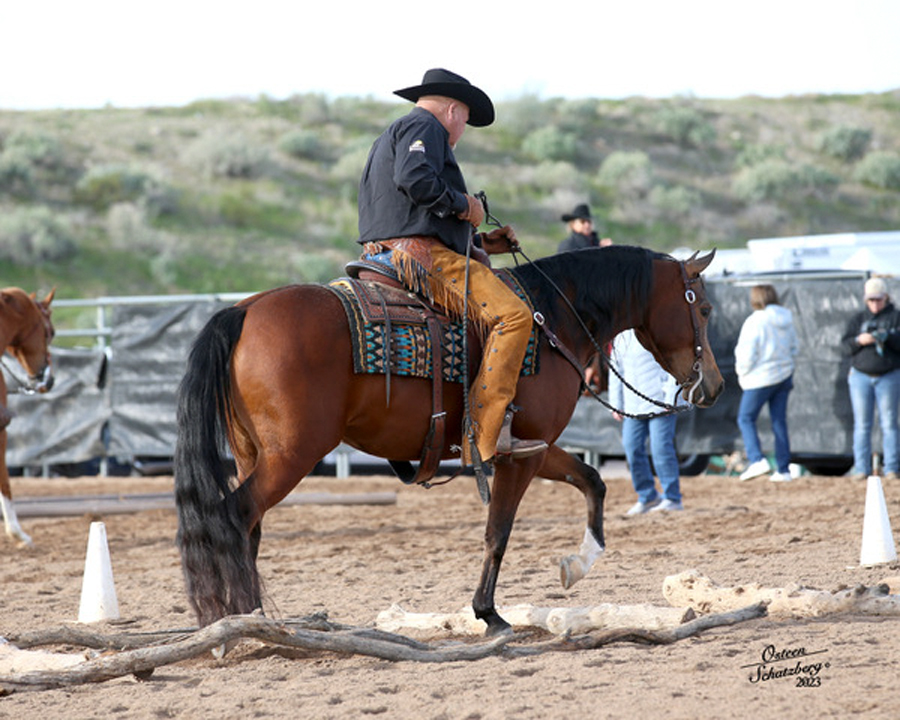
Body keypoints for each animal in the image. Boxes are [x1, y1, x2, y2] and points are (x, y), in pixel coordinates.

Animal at [176, 246, 724, 636]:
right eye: (705, 309)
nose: (714, 387)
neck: (550, 321)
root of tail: (244, 310)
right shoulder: (518, 457)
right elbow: (498, 531)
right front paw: (489, 614)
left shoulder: (533, 446)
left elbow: (592, 480)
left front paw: (576, 564)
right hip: (291, 456)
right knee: (235, 517)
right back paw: (247, 621)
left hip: (253, 455)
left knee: (248, 528)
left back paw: (245, 620)